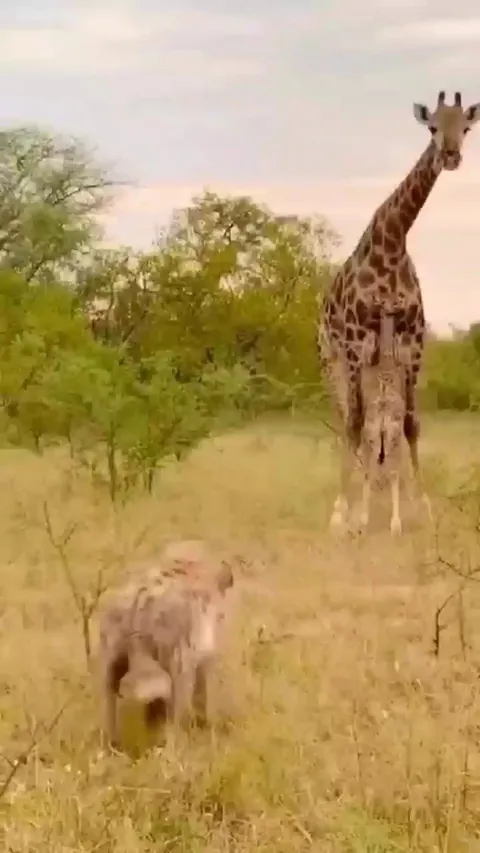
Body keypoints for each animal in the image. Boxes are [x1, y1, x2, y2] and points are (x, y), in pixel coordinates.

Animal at [318, 90, 480, 532]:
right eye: (431, 126)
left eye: (466, 127)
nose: (451, 155)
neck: (393, 242)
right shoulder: (357, 342)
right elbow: (356, 422)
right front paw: (344, 513)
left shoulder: (411, 342)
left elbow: (408, 423)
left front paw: (419, 506)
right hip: (333, 359)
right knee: (346, 417)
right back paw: (347, 503)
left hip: (378, 365)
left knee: (375, 425)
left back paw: (372, 491)